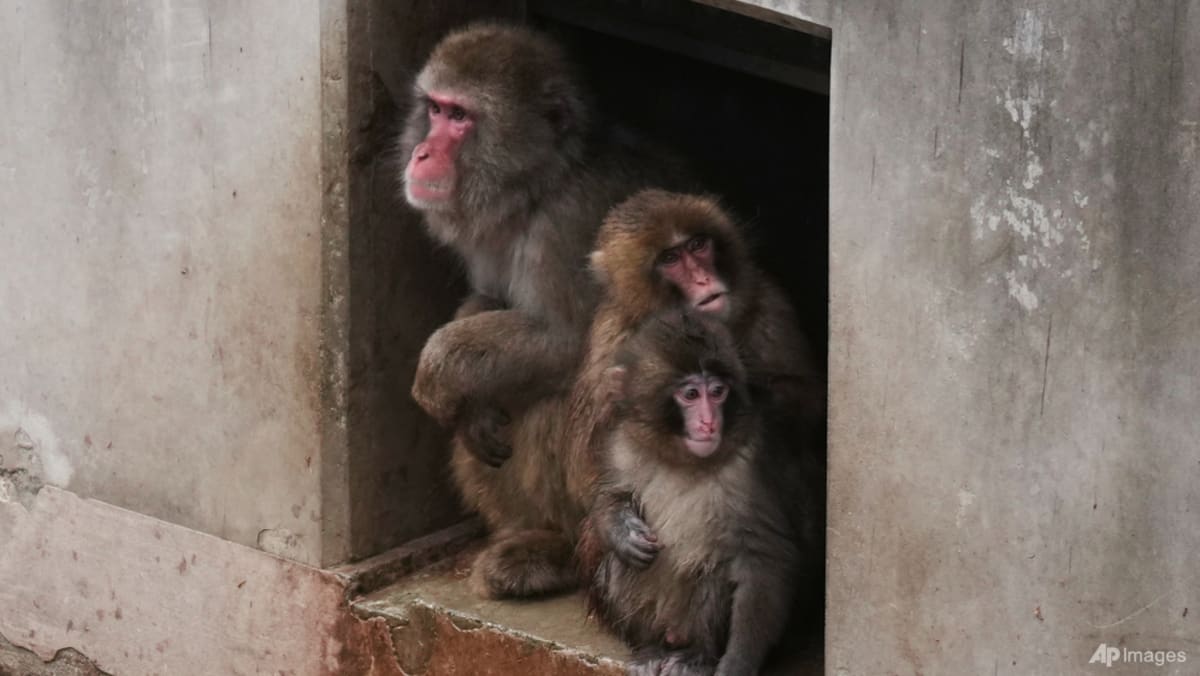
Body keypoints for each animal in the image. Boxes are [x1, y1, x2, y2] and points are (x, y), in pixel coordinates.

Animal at [398, 23, 694, 598]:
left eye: (461, 117)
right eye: (436, 109)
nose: (421, 152)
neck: (540, 186)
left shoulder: (571, 225)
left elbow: (571, 342)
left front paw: (439, 370)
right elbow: (489, 301)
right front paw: (473, 406)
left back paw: (559, 551)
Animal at [580, 310, 804, 676]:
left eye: (717, 392)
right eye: (690, 395)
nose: (709, 423)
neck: (682, 460)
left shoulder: (750, 468)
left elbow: (763, 558)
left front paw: (737, 663)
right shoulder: (622, 445)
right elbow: (606, 498)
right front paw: (620, 529)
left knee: (714, 569)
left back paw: (697, 655)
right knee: (621, 563)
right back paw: (651, 648)